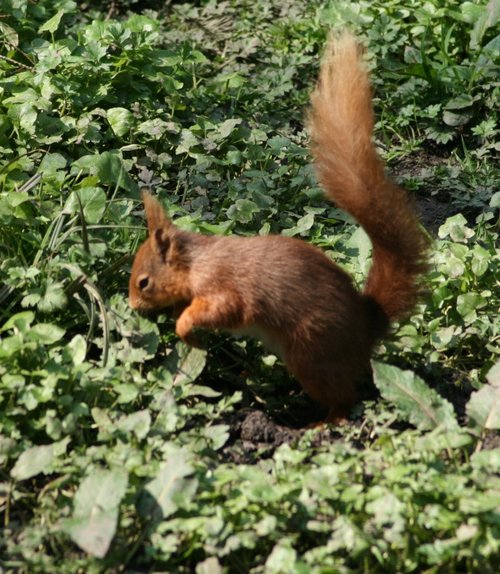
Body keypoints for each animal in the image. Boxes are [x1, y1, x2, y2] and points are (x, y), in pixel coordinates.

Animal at [127, 32, 428, 428]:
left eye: (143, 282)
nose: (131, 306)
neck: (195, 262)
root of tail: (367, 327)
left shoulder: (225, 286)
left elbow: (224, 309)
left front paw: (185, 326)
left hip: (311, 353)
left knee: (345, 397)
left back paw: (323, 423)